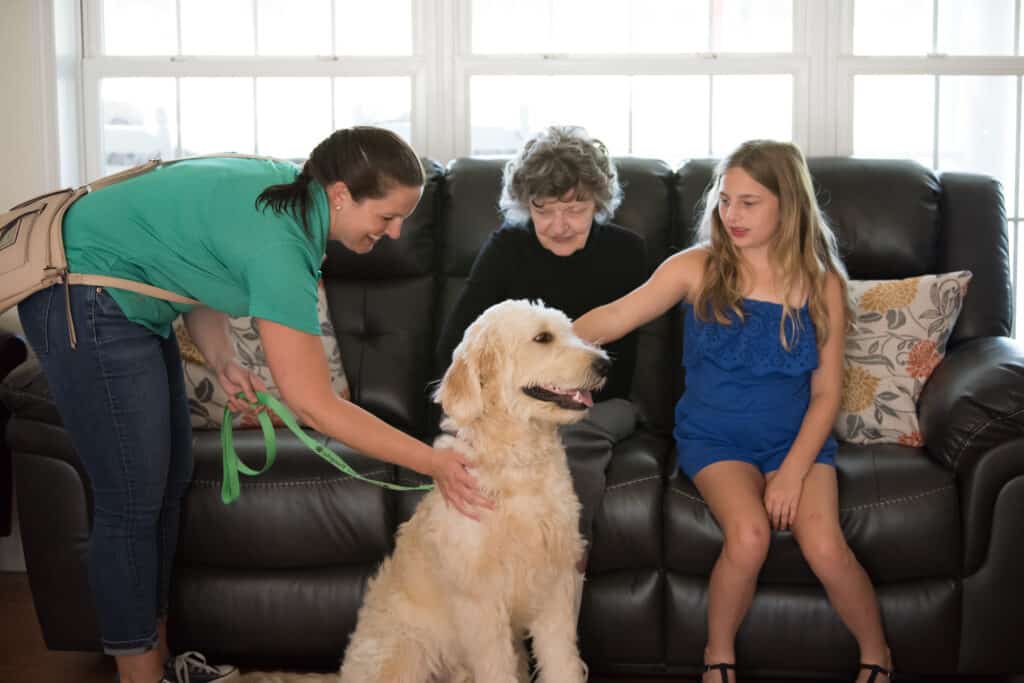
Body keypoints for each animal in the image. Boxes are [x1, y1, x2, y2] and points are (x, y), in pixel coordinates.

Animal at [239, 301, 606, 683]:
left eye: (569, 331)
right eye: (542, 338)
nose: (605, 363)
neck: (518, 465)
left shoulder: (556, 586)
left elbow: (562, 662)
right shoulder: (481, 604)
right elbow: (496, 667)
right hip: (403, 653)